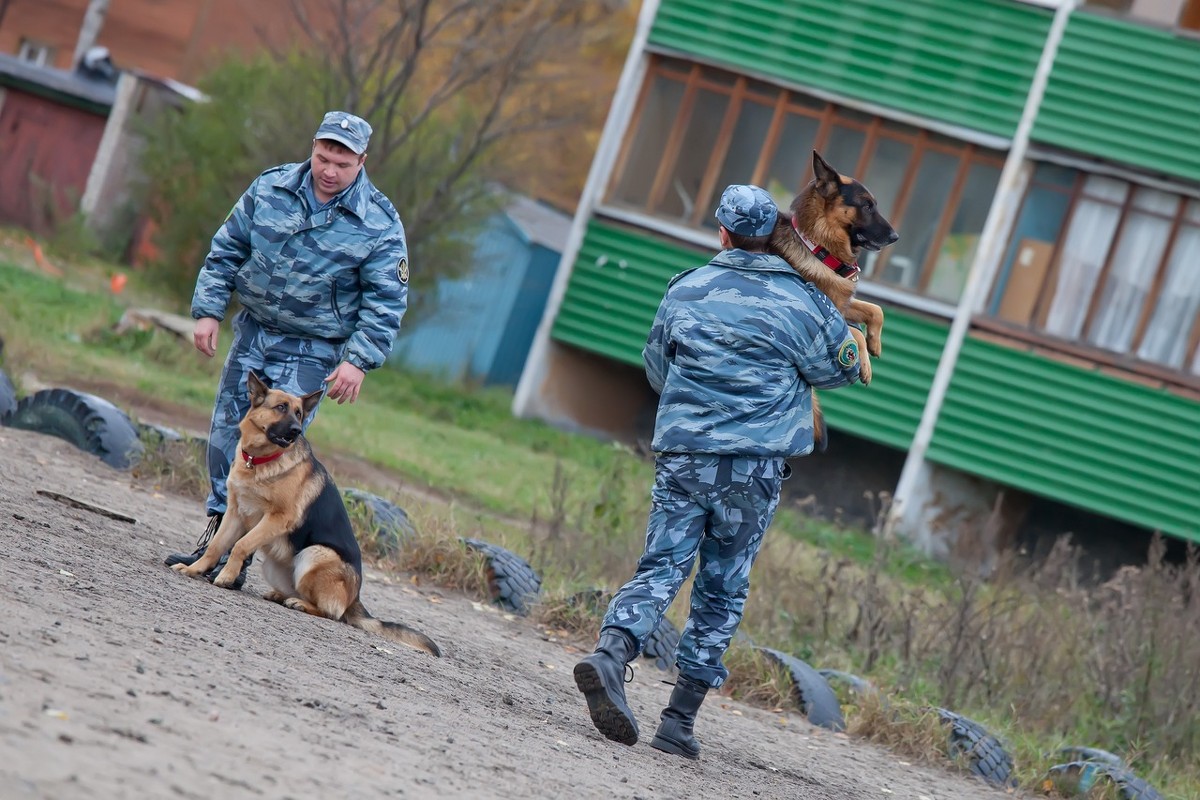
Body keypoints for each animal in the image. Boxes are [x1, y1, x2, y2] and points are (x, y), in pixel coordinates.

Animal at [174, 371, 441, 662]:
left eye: (299, 413)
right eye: (281, 407)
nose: (296, 431)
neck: (259, 462)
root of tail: (355, 597)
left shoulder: (277, 519)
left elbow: (241, 545)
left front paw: (225, 577)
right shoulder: (235, 513)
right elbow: (216, 547)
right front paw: (194, 569)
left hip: (314, 554)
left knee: (332, 613)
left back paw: (300, 604)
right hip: (277, 565)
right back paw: (281, 596)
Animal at [768, 151, 902, 448]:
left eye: (874, 205)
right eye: (867, 206)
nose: (895, 237)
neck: (817, 248)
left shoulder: (842, 303)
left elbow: (875, 309)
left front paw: (875, 341)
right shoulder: (824, 317)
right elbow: (856, 333)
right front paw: (865, 364)